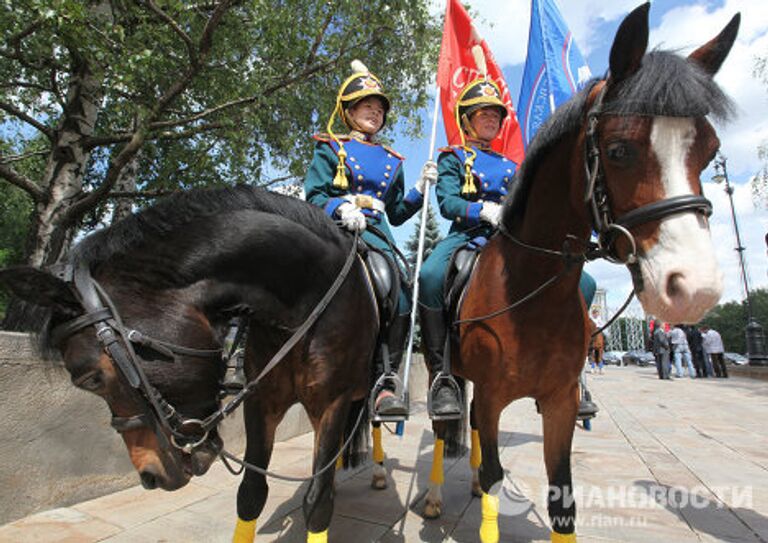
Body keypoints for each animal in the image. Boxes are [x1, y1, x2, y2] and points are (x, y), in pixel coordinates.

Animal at [0, 187, 378, 543]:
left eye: (91, 380)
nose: (150, 476)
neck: (304, 305)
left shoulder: (332, 403)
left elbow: (317, 502)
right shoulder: (261, 400)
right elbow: (251, 494)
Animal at [424, 3, 740, 540]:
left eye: (709, 149)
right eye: (618, 149)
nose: (694, 287)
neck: (532, 291)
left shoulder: (560, 402)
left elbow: (561, 495)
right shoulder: (492, 395)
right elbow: (493, 475)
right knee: (445, 427)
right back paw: (432, 496)